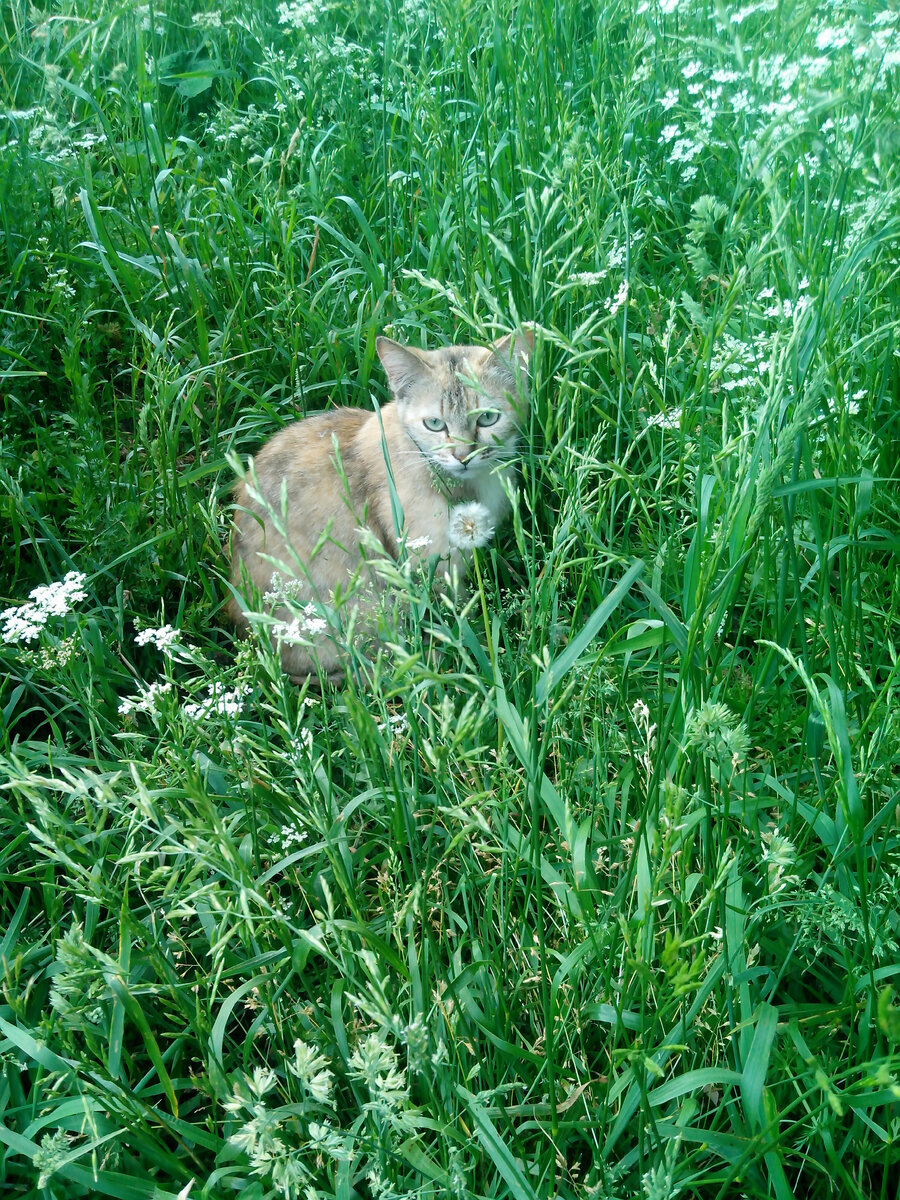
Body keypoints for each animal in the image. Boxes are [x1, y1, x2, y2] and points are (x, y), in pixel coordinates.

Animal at [229, 328, 532, 681]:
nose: (462, 457)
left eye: (487, 418)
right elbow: (460, 612)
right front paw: (476, 647)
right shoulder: (433, 561)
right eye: (434, 424)